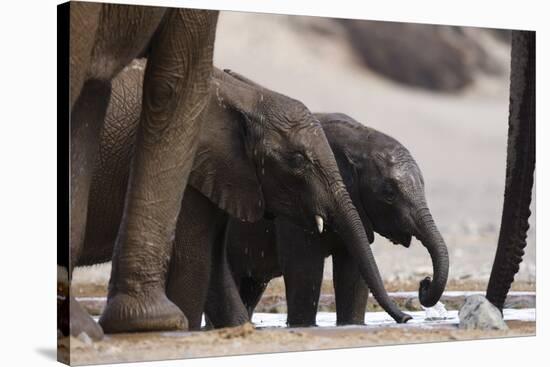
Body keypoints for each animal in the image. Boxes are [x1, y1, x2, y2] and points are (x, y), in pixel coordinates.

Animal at [80, 60, 412, 330]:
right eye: (298, 161)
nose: (408, 316)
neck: (245, 96)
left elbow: (214, 263)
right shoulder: (186, 168)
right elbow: (196, 258)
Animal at [226, 113, 450, 326]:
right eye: (389, 193)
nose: (425, 281)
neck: (358, 139)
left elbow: (354, 272)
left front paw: (351, 325)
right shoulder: (296, 200)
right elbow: (305, 271)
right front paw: (304, 327)